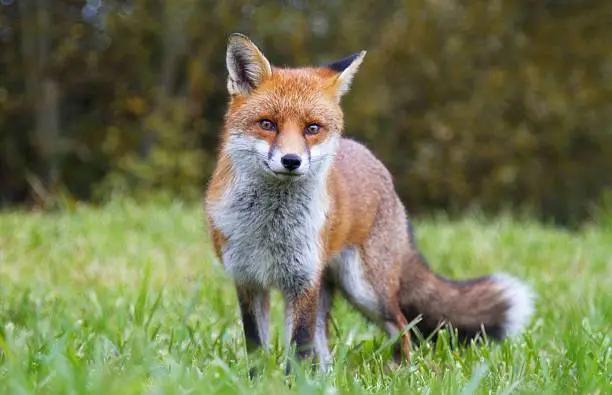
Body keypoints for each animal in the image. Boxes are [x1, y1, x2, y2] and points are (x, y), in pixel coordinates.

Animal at [206, 32, 536, 372]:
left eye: (312, 128)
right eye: (267, 124)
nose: (291, 160)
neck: (270, 227)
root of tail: (370, 156)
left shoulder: (303, 280)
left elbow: (298, 348)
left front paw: (290, 380)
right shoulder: (248, 279)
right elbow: (256, 347)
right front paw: (259, 379)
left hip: (365, 289)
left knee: (403, 325)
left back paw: (402, 371)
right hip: (333, 287)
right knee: (326, 342)